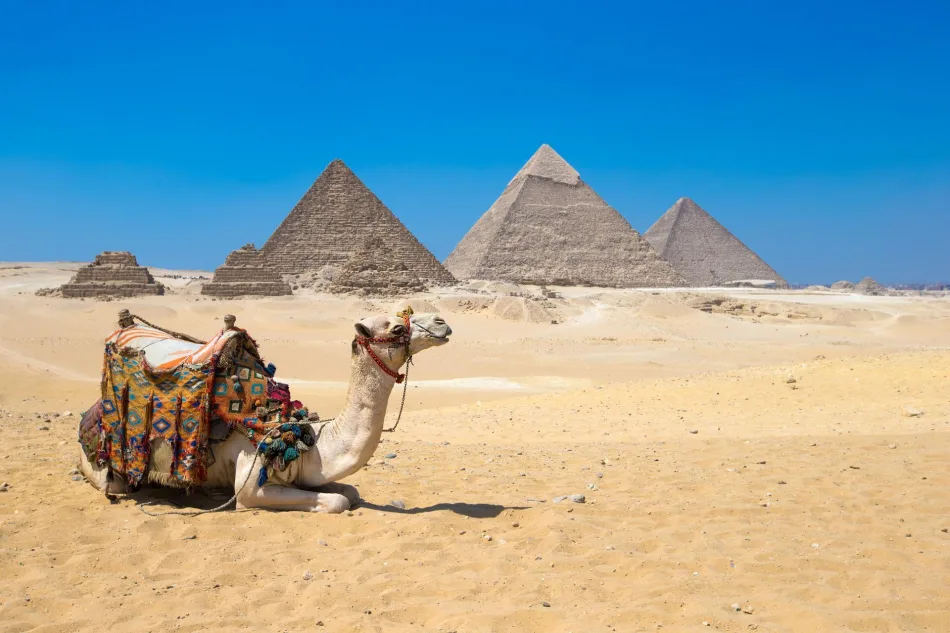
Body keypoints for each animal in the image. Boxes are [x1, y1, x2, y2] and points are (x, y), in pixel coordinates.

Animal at [78, 311, 452, 513]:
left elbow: (350, 492)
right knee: (114, 484)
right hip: (106, 468)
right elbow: (337, 501)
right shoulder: (252, 484)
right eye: (397, 328)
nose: (442, 322)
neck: (307, 440)